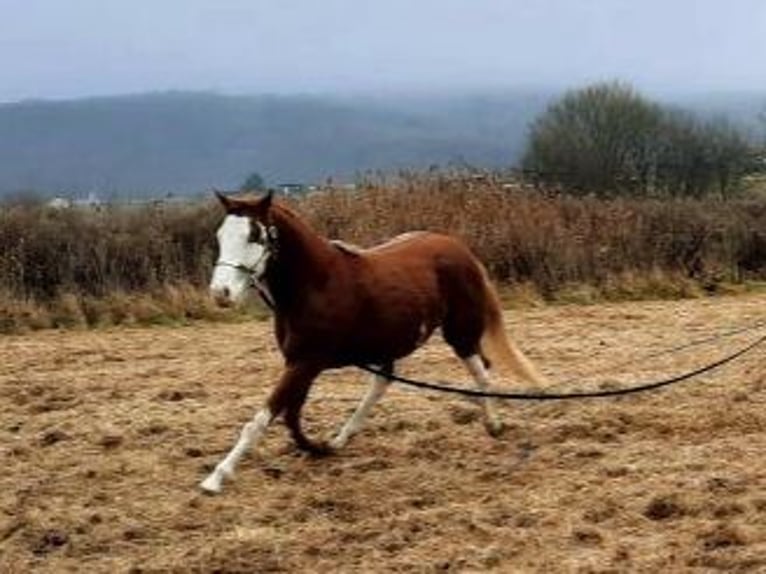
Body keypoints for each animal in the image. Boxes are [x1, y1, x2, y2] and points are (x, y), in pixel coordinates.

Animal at [198, 190, 544, 496]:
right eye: (220, 235)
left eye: (255, 235)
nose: (221, 293)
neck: (316, 284)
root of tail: (460, 249)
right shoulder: (299, 362)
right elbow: (291, 414)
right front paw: (319, 446)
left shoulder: (306, 362)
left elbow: (263, 417)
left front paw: (216, 478)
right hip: (393, 344)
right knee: (382, 384)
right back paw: (341, 438)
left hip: (459, 332)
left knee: (480, 371)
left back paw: (494, 425)